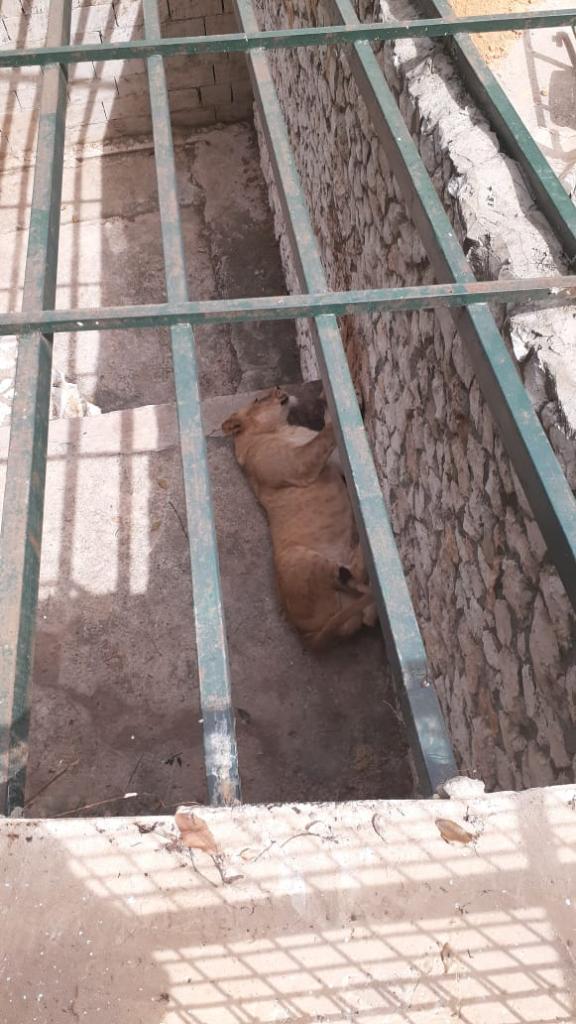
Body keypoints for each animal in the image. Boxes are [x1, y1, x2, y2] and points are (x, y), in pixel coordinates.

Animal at [222, 387, 377, 649]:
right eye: (258, 398)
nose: (278, 387)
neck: (282, 428)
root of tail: (306, 635)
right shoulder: (297, 464)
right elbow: (322, 437)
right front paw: (340, 406)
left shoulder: (330, 462)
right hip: (300, 559)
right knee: (350, 576)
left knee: (363, 606)